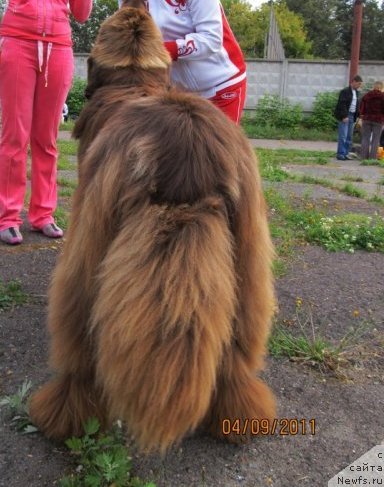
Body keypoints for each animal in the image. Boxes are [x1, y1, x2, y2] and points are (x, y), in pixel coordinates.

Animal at [30, 0, 276, 454]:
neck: (133, 81)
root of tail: (188, 149)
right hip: (250, 258)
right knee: (237, 350)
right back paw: (238, 414)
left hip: (89, 243)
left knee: (79, 347)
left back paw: (64, 417)